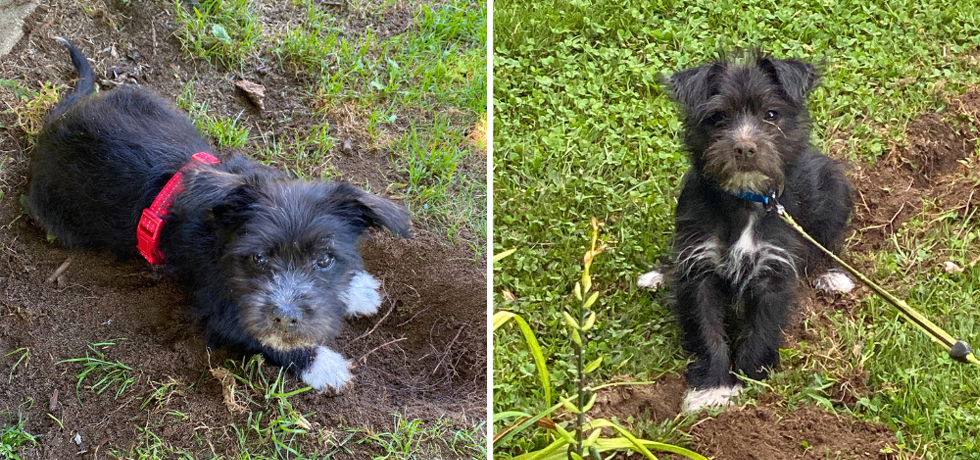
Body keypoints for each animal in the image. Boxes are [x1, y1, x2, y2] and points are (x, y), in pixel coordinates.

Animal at [27, 38, 410, 392]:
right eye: (257, 258)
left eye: (325, 260)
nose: (286, 315)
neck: (219, 230)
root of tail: (57, 122)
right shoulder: (222, 309)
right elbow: (261, 337)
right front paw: (324, 365)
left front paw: (357, 290)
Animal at [640, 54, 852, 414]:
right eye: (718, 117)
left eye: (771, 114)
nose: (744, 148)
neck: (745, 200)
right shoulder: (699, 265)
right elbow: (707, 329)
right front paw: (712, 388)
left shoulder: (774, 268)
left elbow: (762, 327)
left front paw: (751, 379)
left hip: (835, 190)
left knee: (825, 244)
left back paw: (831, 275)